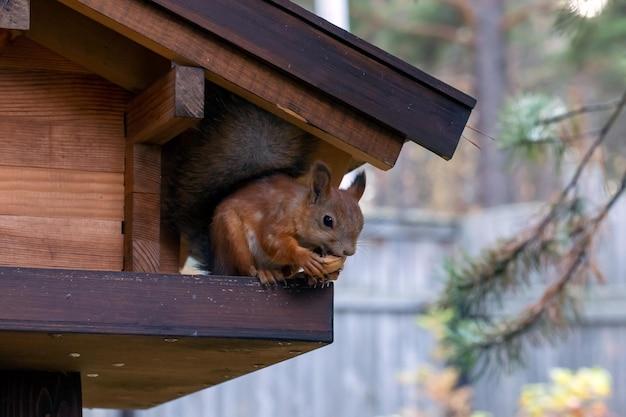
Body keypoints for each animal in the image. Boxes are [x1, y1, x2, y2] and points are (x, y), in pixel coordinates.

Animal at [163, 86, 364, 284]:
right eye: (327, 220)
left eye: (361, 224)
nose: (348, 252)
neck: (299, 209)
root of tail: (218, 265)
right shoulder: (278, 216)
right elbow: (273, 241)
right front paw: (304, 257)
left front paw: (331, 270)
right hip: (233, 237)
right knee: (245, 269)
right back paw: (263, 273)